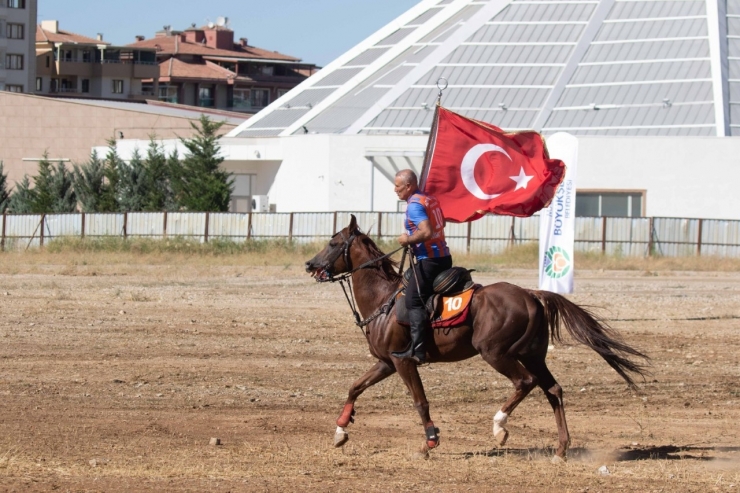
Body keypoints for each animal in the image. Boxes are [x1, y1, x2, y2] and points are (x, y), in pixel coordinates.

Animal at [306, 215, 648, 462]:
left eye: (333, 242)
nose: (310, 264)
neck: (384, 300)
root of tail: (532, 295)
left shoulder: (404, 362)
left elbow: (420, 401)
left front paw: (430, 443)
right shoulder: (386, 362)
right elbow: (355, 387)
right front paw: (340, 432)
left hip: (496, 353)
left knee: (525, 383)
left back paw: (499, 427)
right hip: (532, 354)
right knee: (553, 390)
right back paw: (561, 449)